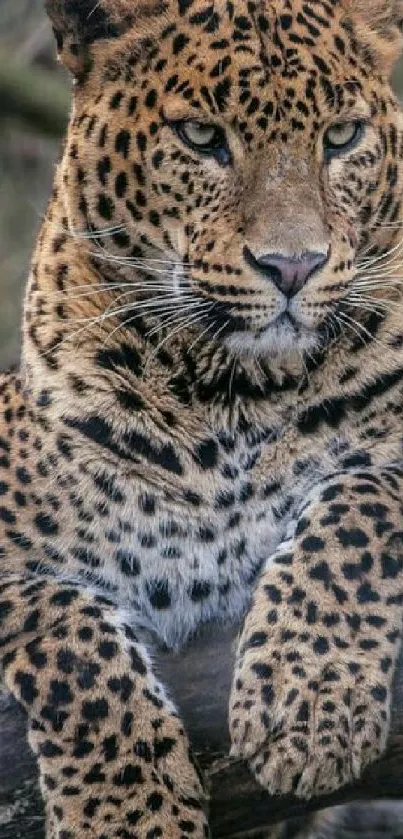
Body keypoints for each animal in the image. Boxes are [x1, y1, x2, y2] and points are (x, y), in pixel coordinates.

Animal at [0, 0, 403, 836]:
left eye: (340, 137)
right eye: (200, 138)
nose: (293, 266)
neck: (232, 393)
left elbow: (361, 506)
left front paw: (305, 701)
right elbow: (66, 635)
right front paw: (123, 812)